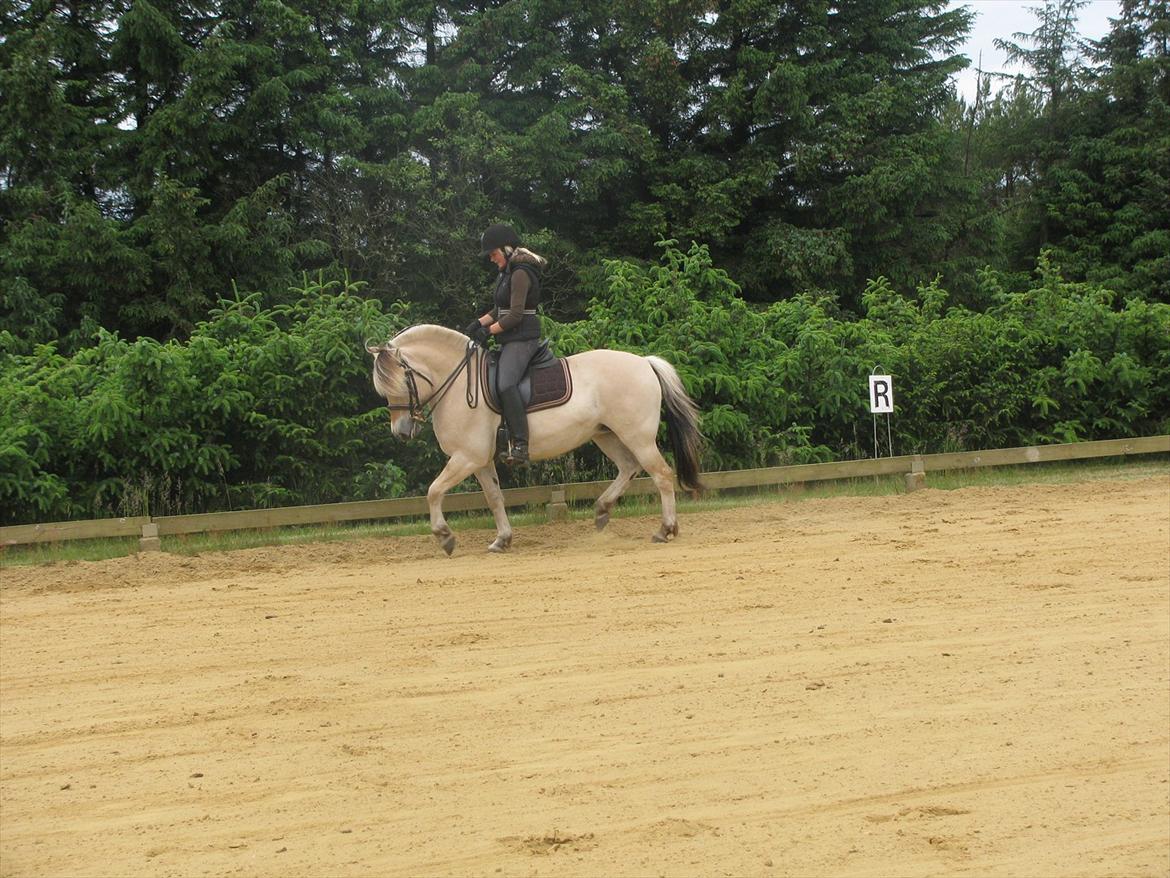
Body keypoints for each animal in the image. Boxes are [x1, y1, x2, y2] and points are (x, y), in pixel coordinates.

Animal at [365, 323, 697, 557]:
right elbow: (494, 498)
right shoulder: (480, 461)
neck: (459, 384)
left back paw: (665, 530)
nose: (401, 431)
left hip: (637, 436)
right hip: (606, 434)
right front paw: (502, 540)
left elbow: (434, 491)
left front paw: (445, 537)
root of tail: (644, 363)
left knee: (662, 475)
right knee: (629, 467)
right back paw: (602, 511)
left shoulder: (467, 457)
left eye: (401, 383)